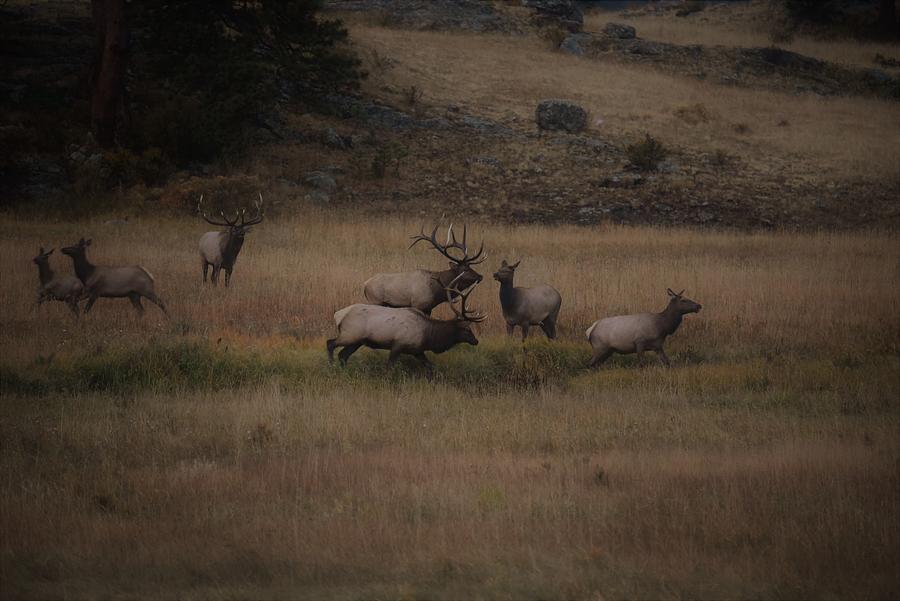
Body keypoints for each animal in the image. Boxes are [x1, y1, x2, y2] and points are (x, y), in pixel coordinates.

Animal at [326, 276, 486, 370]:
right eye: (467, 329)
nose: (476, 341)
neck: (429, 335)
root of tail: (338, 315)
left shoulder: (417, 350)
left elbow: (431, 367)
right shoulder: (398, 344)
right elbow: (389, 367)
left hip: (357, 341)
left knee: (343, 355)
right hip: (350, 334)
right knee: (330, 343)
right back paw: (331, 366)